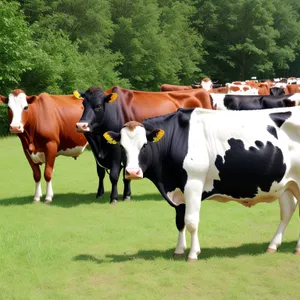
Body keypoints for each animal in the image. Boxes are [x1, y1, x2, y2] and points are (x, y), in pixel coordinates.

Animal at [75, 86, 214, 204]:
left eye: (98, 105)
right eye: (83, 104)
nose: (81, 125)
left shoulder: (116, 151)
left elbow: (115, 175)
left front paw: (115, 197)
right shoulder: (99, 152)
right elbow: (101, 173)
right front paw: (101, 193)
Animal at [102, 106, 300, 262]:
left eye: (144, 145)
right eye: (121, 147)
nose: (132, 172)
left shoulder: (193, 184)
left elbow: (191, 221)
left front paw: (192, 254)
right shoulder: (178, 190)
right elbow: (179, 221)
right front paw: (179, 251)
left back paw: (296, 248)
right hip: (287, 185)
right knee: (288, 211)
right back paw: (272, 246)